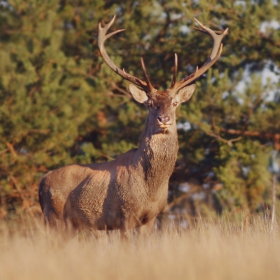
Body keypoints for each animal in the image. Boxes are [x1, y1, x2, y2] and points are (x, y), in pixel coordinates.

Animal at [38, 15, 229, 236]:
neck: (151, 189)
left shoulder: (151, 218)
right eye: (150, 104)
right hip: (54, 216)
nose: (164, 119)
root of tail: (41, 183)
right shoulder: (125, 215)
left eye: (175, 103)